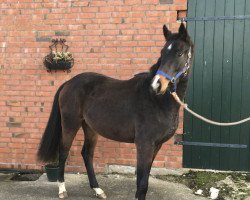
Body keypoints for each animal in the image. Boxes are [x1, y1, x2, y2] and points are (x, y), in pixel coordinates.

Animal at [37, 22, 194, 199]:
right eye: (162, 52)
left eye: (179, 52)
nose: (157, 84)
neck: (157, 100)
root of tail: (68, 83)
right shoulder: (144, 145)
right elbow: (142, 183)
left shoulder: (156, 146)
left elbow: (143, 180)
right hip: (70, 124)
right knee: (63, 152)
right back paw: (62, 189)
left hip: (90, 128)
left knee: (87, 154)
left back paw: (97, 190)